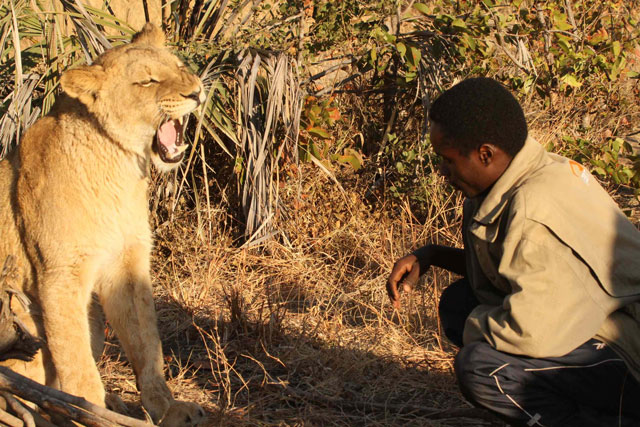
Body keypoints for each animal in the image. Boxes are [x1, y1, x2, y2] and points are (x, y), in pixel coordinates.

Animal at [0, 24, 205, 427]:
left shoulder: (129, 262)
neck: (119, 167)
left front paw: (166, 407)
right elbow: (75, 359)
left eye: (179, 67)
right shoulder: (60, 275)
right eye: (147, 81)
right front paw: (87, 412)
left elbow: (147, 343)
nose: (196, 91)